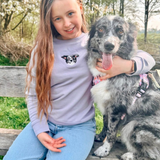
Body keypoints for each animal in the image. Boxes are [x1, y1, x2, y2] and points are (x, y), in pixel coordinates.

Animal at [87, 15, 160, 160]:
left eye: (120, 31)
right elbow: (106, 123)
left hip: (134, 125)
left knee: (153, 154)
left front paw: (104, 149)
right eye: (101, 29)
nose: (109, 45)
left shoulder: (117, 107)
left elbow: (111, 130)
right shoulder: (106, 104)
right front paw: (101, 137)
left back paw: (130, 154)